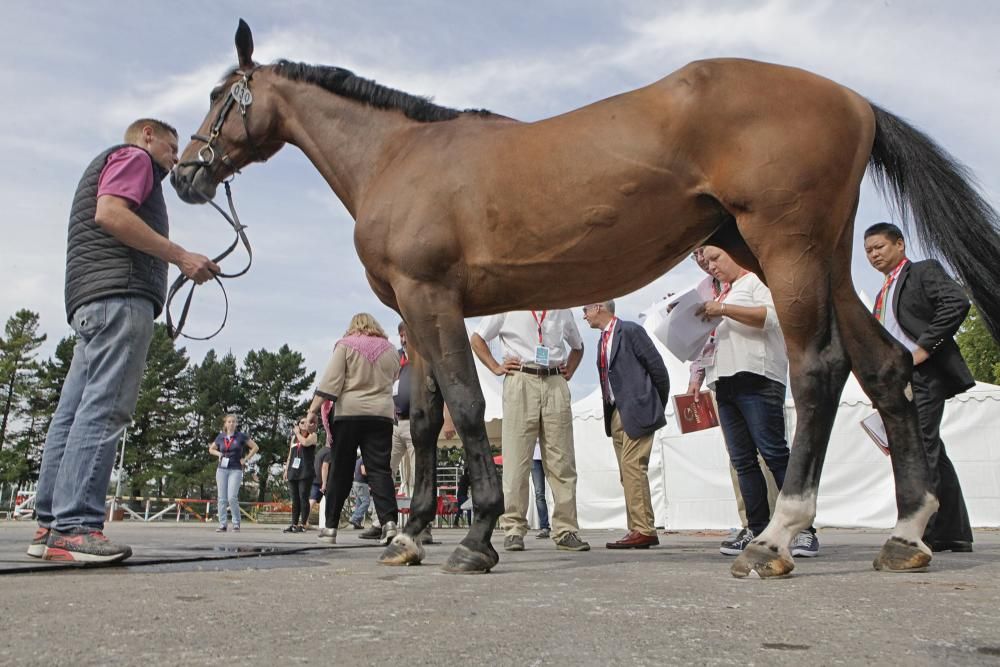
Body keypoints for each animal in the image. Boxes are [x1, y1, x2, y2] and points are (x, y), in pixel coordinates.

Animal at [172, 19, 1000, 576]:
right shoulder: (413, 309)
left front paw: (474, 539)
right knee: (884, 367)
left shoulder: (433, 298)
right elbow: (433, 415)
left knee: (820, 368)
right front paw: (410, 533)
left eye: (218, 95)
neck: (399, 156)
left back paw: (775, 537)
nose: (185, 174)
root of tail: (853, 98)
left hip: (789, 252)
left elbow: (466, 406)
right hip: (819, 257)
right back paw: (906, 535)